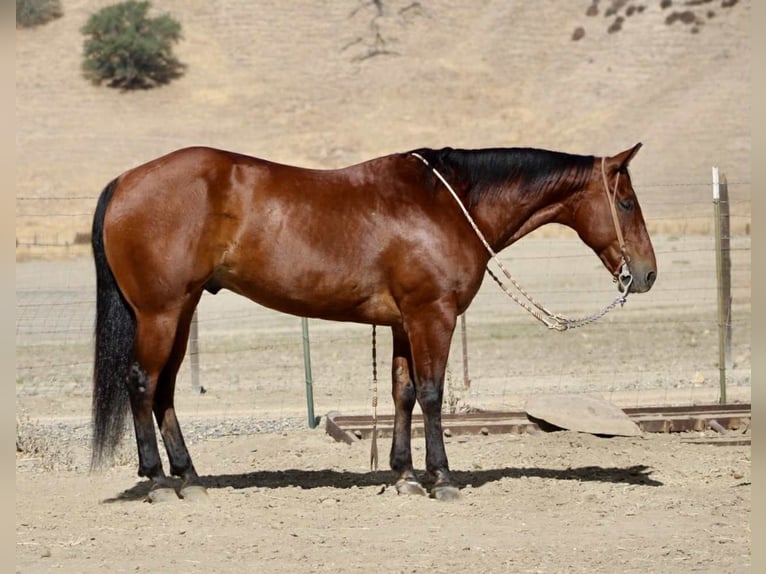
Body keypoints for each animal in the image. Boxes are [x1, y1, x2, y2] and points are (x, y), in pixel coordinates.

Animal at [90, 143, 656, 501]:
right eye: (627, 202)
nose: (647, 274)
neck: (447, 204)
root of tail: (125, 181)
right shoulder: (433, 315)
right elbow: (431, 393)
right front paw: (441, 477)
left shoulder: (405, 322)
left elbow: (402, 392)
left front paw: (404, 475)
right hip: (161, 313)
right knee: (141, 383)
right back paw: (159, 481)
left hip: (181, 313)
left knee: (163, 390)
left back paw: (189, 476)